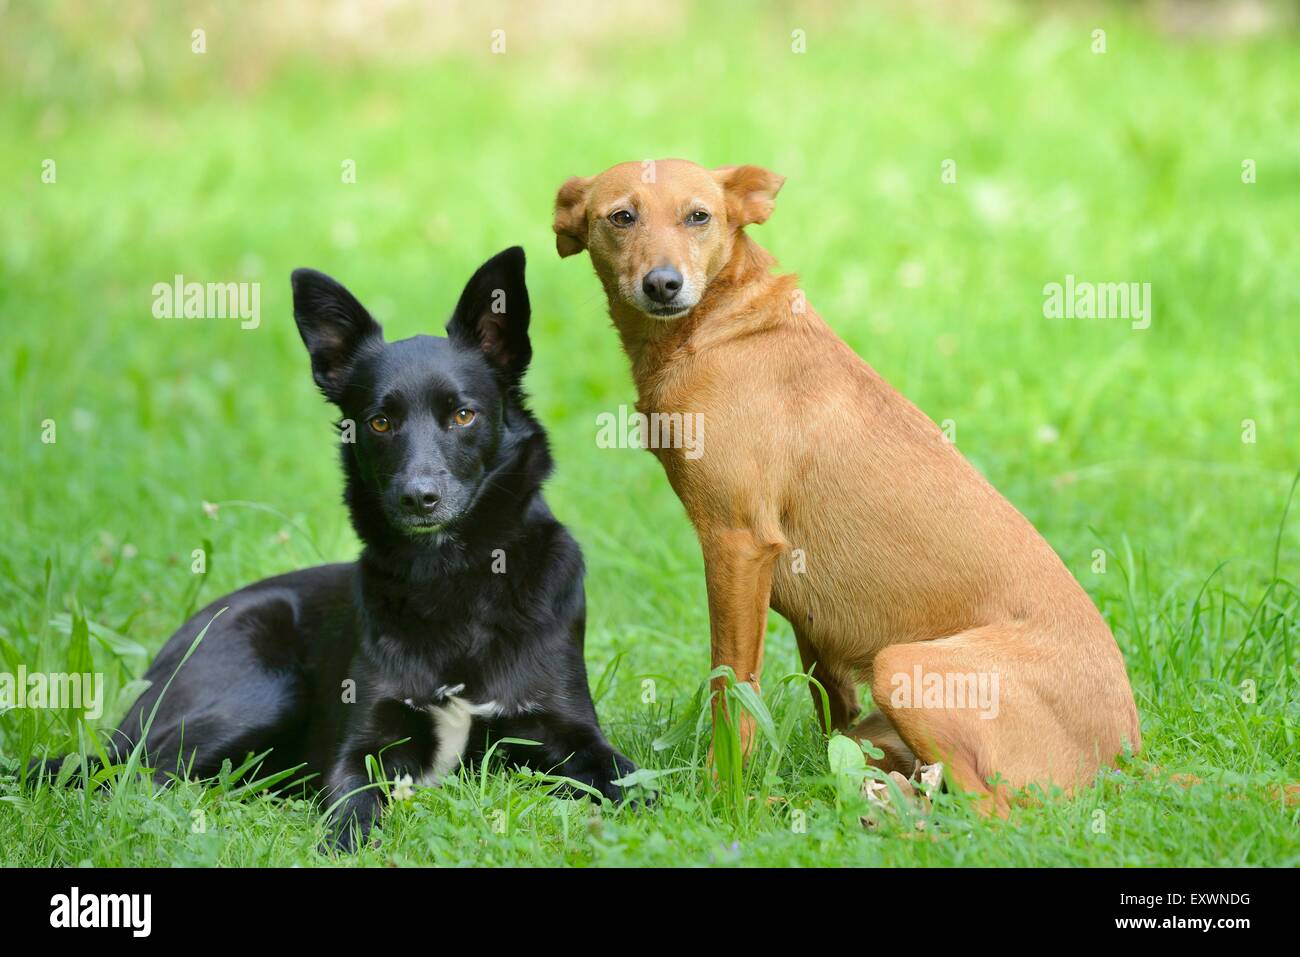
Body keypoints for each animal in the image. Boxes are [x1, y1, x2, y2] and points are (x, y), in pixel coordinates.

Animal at [31, 247, 639, 852]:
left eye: (463, 415)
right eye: (380, 422)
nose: (419, 498)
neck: (455, 580)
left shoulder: (568, 731)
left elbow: (632, 781)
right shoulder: (365, 748)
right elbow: (351, 803)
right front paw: (346, 843)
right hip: (260, 691)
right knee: (132, 774)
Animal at [553, 158, 1144, 816]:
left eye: (698, 216)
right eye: (621, 217)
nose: (663, 284)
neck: (724, 325)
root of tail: (1126, 756)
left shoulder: (739, 545)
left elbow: (732, 692)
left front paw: (722, 796)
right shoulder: (809, 619)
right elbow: (829, 710)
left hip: (902, 666)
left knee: (989, 812)